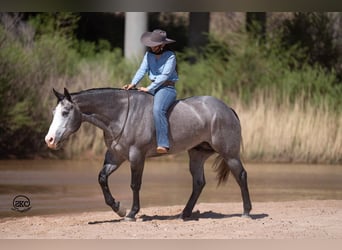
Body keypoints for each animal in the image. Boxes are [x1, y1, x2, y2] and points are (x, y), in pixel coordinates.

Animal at [44, 88, 251, 221]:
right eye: (54, 111)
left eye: (65, 112)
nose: (49, 140)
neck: (121, 115)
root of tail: (227, 109)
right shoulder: (116, 157)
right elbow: (102, 178)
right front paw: (118, 208)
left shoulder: (137, 156)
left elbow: (135, 185)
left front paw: (131, 213)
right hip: (197, 155)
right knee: (198, 183)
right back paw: (185, 214)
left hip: (229, 154)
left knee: (241, 176)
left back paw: (247, 211)